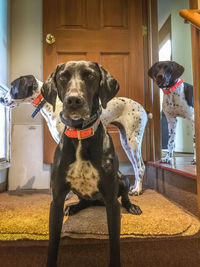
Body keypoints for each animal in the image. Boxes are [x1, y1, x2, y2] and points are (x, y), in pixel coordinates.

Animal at [0, 74, 152, 196]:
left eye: (12, 86)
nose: (2, 99)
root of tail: (143, 108)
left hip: (133, 142)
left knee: (141, 166)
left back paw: (138, 190)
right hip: (126, 142)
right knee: (136, 166)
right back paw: (134, 187)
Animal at [41, 61, 142, 267]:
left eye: (90, 76)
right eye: (63, 77)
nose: (73, 100)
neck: (80, 134)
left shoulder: (112, 203)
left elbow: (114, 244)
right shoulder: (56, 200)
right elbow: (53, 242)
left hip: (122, 178)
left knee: (125, 195)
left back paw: (132, 205)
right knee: (84, 201)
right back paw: (73, 207)